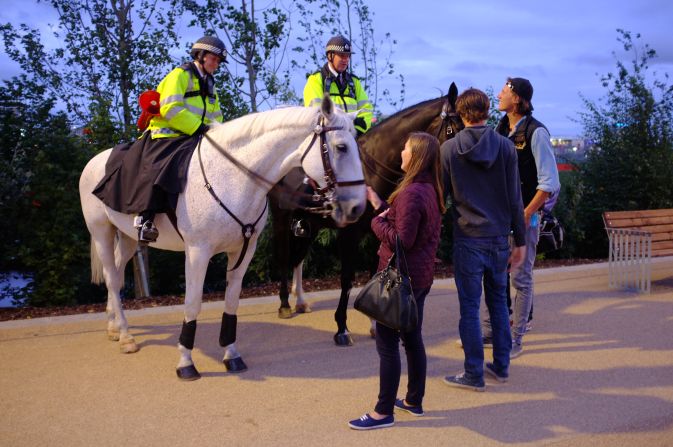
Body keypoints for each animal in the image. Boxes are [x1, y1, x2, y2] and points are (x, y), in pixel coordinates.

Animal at [79, 98, 368, 382]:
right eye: (341, 147)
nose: (357, 207)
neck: (233, 178)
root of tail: (95, 160)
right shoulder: (197, 252)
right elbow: (192, 303)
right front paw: (186, 362)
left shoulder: (243, 251)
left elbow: (231, 301)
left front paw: (231, 355)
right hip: (101, 232)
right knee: (113, 278)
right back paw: (125, 336)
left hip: (127, 237)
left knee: (116, 274)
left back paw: (113, 326)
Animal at [268, 84, 462, 346]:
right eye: (453, 129)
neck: (372, 171)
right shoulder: (349, 235)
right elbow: (347, 278)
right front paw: (341, 328)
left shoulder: (377, 233)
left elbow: (375, 272)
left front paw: (374, 323)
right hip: (281, 220)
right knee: (284, 257)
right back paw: (285, 304)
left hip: (309, 226)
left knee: (298, 259)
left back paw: (299, 301)